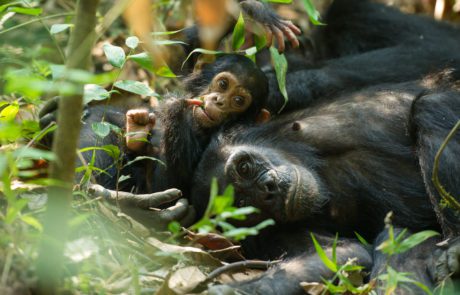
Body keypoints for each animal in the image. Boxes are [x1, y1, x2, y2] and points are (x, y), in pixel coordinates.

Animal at [190, 72, 460, 295]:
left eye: (244, 168)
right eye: (245, 206)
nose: (268, 190)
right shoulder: (270, 236)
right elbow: (343, 252)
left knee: (430, 106)